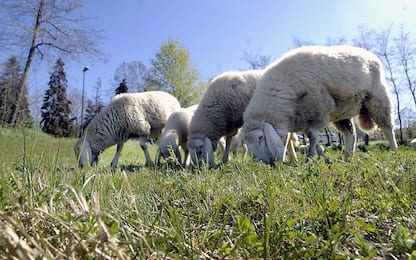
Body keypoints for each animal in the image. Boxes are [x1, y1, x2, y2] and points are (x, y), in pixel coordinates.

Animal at [242, 45, 398, 165]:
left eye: (260, 137)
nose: (270, 164)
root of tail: (369, 54)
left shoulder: (319, 112)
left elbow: (313, 140)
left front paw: (309, 161)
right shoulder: (304, 121)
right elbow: (315, 143)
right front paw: (324, 159)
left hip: (378, 99)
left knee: (387, 128)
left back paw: (394, 151)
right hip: (342, 112)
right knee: (350, 133)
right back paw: (348, 158)